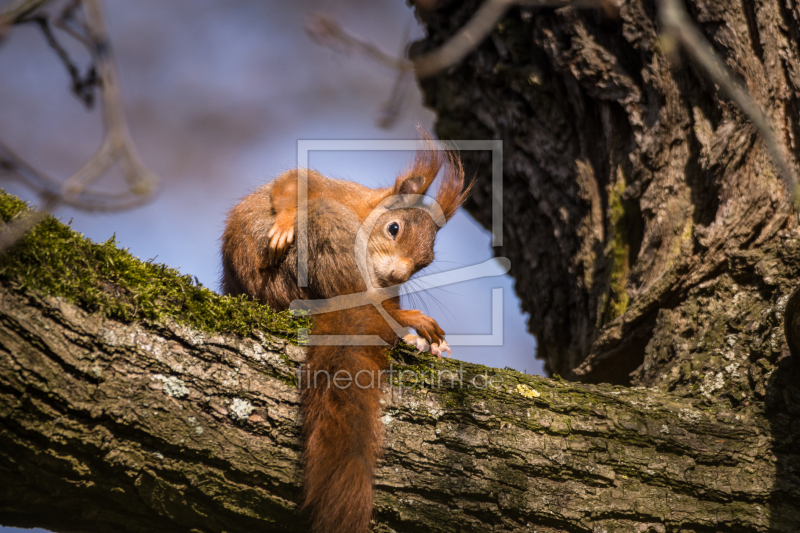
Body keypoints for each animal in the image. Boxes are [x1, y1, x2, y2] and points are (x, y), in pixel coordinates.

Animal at [219, 138, 468, 532]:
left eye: (426, 262)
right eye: (393, 228)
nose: (399, 275)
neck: (363, 209)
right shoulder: (331, 190)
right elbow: (293, 182)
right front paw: (284, 222)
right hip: (321, 233)